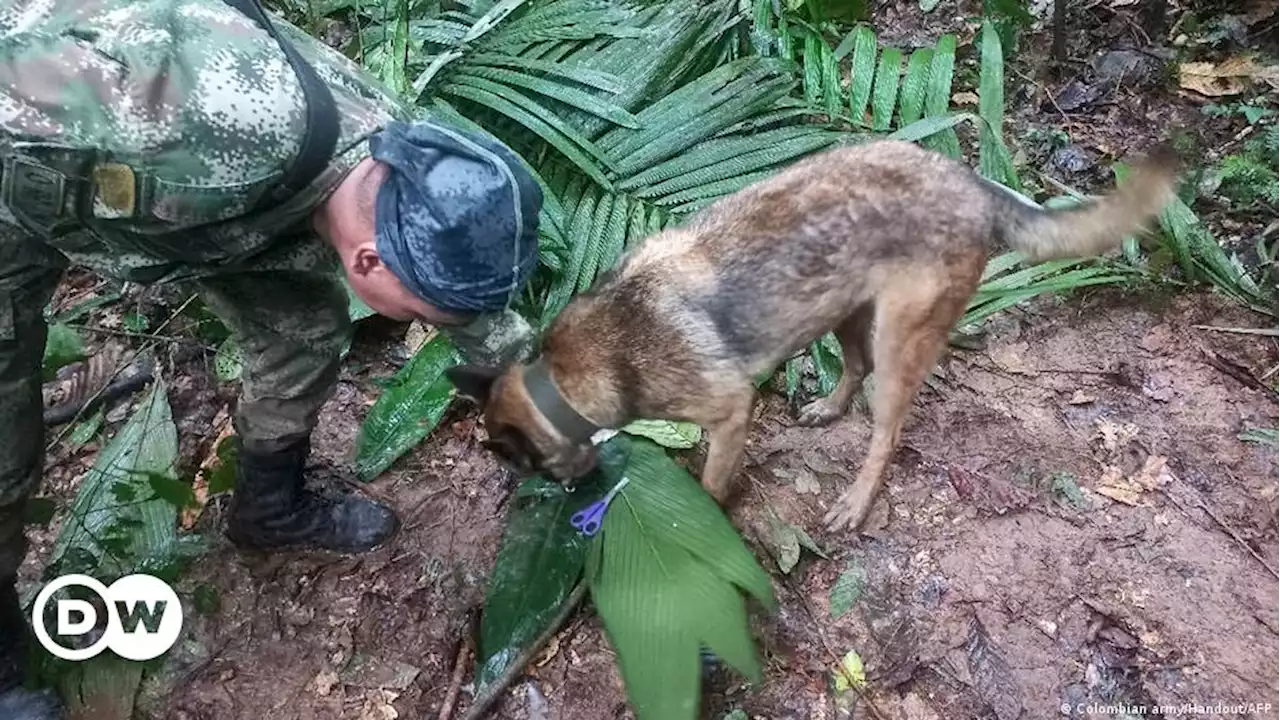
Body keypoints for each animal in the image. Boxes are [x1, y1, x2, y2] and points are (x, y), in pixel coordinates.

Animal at [442, 140, 1177, 530]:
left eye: (525, 466)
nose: (569, 497)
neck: (567, 376)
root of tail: (973, 184)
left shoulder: (730, 412)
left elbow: (712, 481)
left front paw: (708, 516)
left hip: (899, 339)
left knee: (886, 430)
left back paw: (856, 499)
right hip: (844, 310)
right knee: (853, 368)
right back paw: (828, 407)